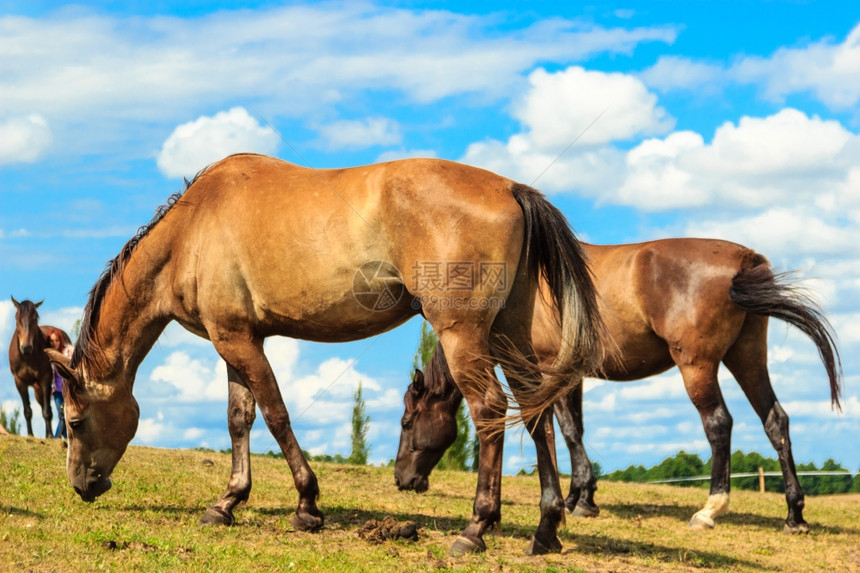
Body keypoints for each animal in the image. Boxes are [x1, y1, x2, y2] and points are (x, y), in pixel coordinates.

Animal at [7, 298, 72, 436]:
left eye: (35, 318)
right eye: (17, 318)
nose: (26, 347)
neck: (27, 357)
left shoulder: (45, 379)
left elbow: (47, 412)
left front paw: (50, 436)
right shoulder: (19, 381)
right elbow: (27, 411)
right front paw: (30, 435)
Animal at [47, 154, 604, 556]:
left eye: (73, 421)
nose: (80, 486)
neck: (193, 228)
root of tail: (511, 188)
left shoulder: (239, 342)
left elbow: (275, 415)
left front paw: (307, 505)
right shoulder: (234, 342)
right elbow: (238, 419)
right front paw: (227, 502)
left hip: (462, 336)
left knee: (490, 411)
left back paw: (476, 528)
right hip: (510, 338)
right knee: (535, 415)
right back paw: (546, 528)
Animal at [394, 237, 840, 532]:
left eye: (406, 422)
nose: (402, 480)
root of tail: (745, 259)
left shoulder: (548, 370)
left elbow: (565, 430)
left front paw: (578, 500)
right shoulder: (571, 377)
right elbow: (574, 428)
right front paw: (580, 495)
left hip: (697, 366)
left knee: (718, 424)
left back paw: (710, 509)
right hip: (747, 359)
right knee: (775, 421)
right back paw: (795, 514)